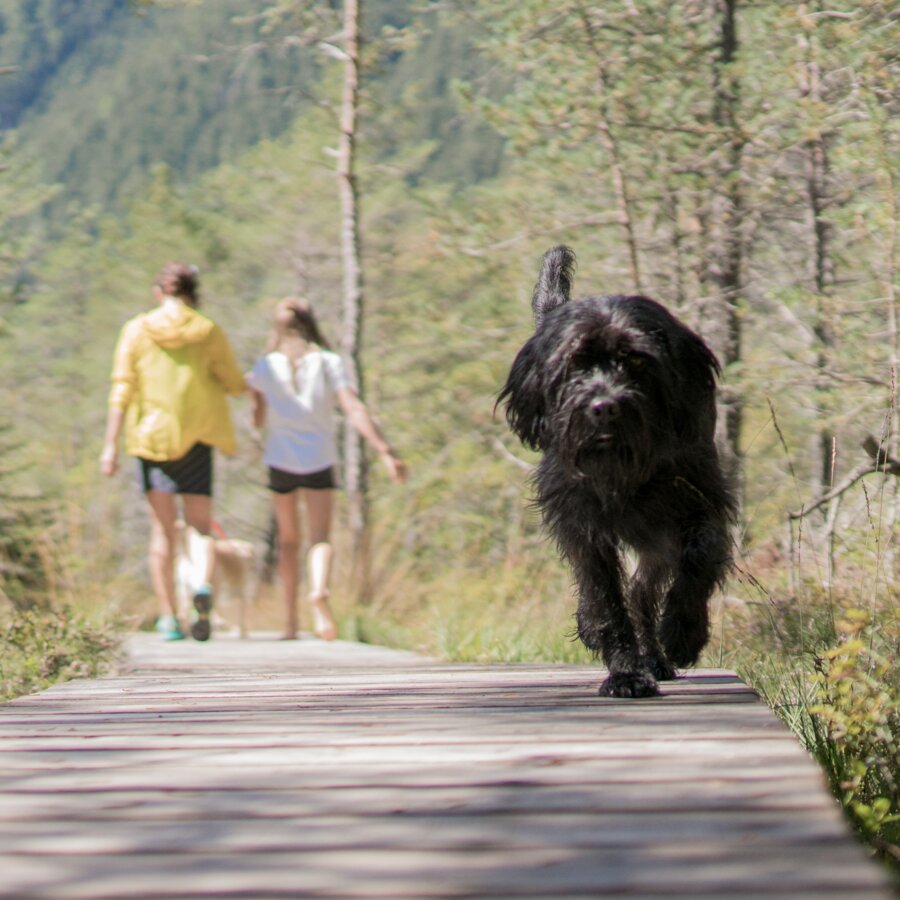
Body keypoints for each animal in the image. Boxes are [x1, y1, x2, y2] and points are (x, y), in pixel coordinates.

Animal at [496, 250, 736, 700]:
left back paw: (657, 655)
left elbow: (700, 556)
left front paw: (684, 632)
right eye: (574, 363)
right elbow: (605, 598)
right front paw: (625, 672)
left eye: (636, 360)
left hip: (656, 544)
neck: (623, 469)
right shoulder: (582, 527)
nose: (604, 406)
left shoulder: (703, 501)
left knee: (643, 594)